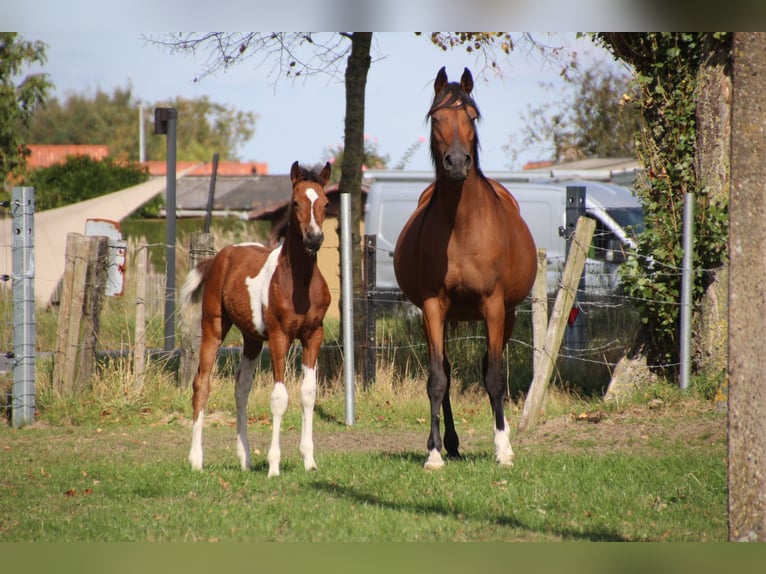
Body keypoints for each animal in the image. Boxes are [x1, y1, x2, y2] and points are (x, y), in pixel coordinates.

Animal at [180, 160, 332, 477]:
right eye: (295, 202)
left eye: (326, 203)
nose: (314, 239)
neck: (299, 283)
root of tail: (220, 256)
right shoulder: (278, 336)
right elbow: (279, 398)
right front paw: (274, 466)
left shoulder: (314, 334)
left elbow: (308, 393)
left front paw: (309, 461)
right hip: (213, 327)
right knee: (201, 384)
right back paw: (196, 459)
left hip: (251, 339)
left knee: (241, 388)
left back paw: (245, 459)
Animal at [393, 67, 537, 470]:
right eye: (436, 117)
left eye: (472, 117)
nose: (457, 163)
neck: (461, 226)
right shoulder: (431, 307)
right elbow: (437, 379)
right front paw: (433, 453)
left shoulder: (493, 305)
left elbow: (494, 376)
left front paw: (503, 448)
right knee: (446, 370)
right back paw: (451, 443)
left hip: (508, 314)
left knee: (490, 364)